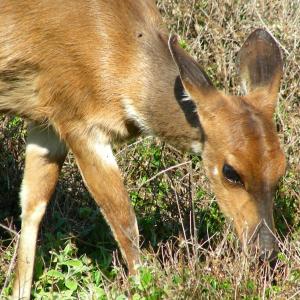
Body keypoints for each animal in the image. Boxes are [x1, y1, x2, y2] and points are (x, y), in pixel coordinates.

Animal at [0, 0, 286, 298]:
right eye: (231, 172)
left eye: (283, 169)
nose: (266, 252)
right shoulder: (81, 126)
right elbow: (125, 221)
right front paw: (146, 285)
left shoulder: (47, 123)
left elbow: (32, 204)